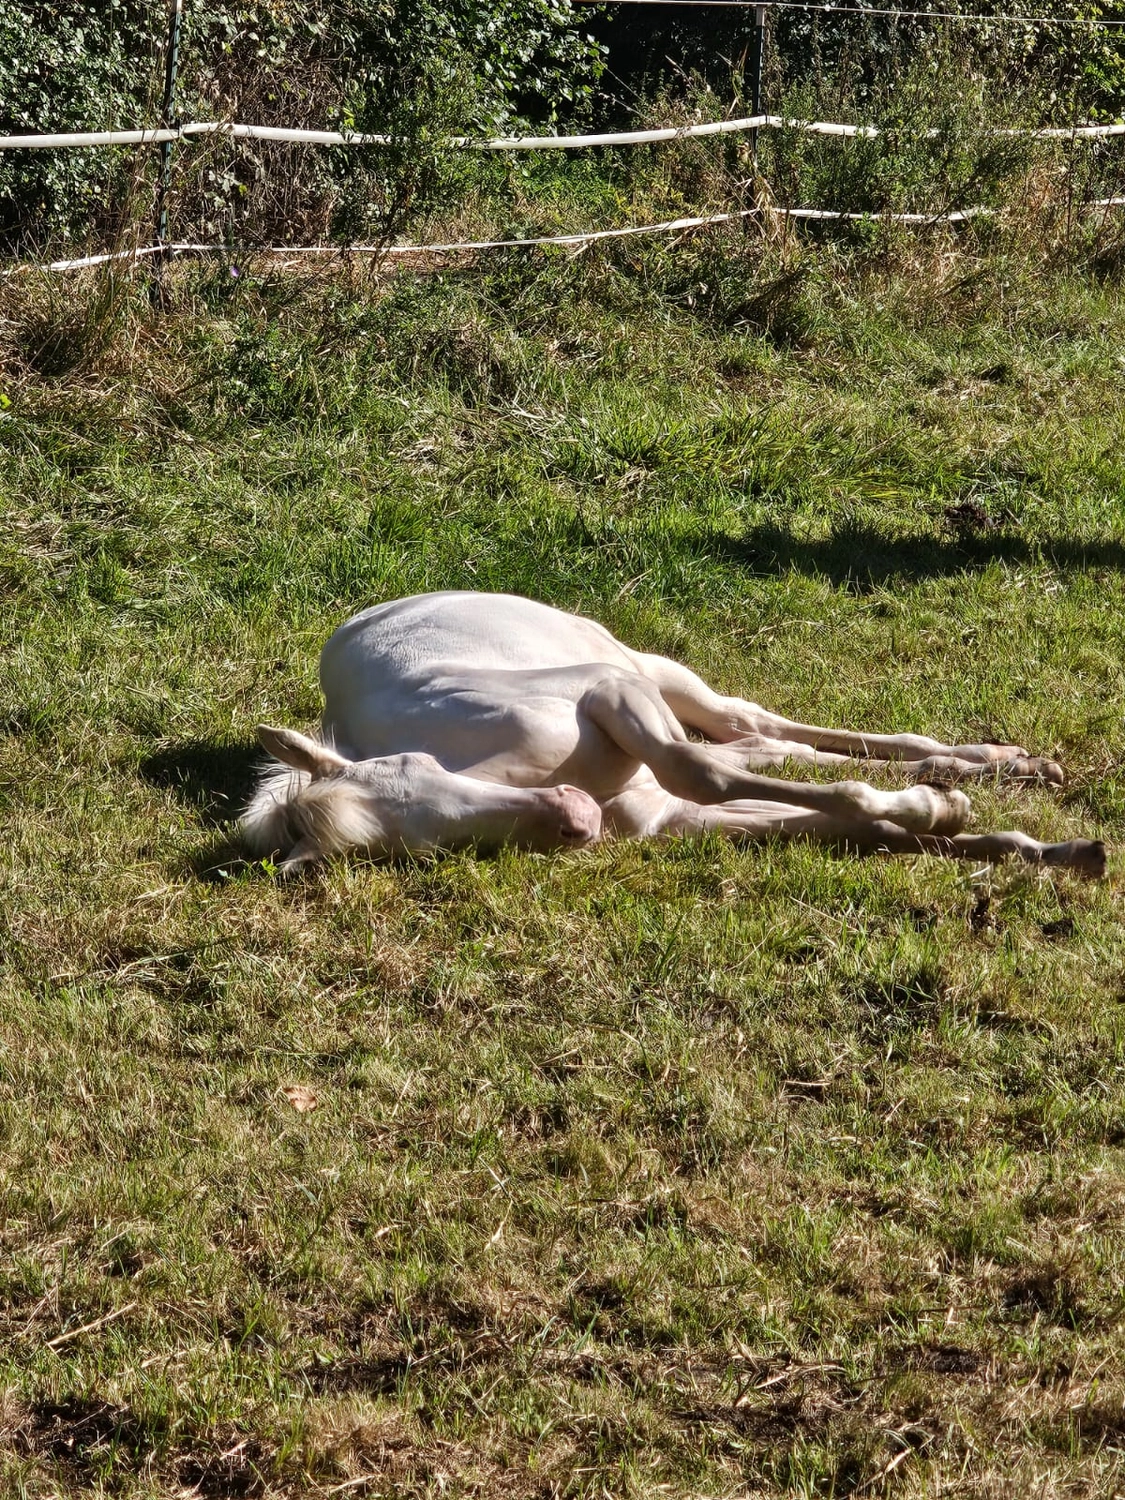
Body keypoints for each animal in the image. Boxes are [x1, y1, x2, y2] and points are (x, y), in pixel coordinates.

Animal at [241, 591, 1105, 878]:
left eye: (421, 764)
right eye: (427, 849)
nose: (574, 819)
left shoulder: (611, 692)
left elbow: (701, 768)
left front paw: (946, 806)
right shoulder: (672, 820)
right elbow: (851, 829)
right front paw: (1024, 842)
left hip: (647, 667)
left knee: (745, 725)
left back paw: (998, 761)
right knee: (766, 745)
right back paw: (989, 769)